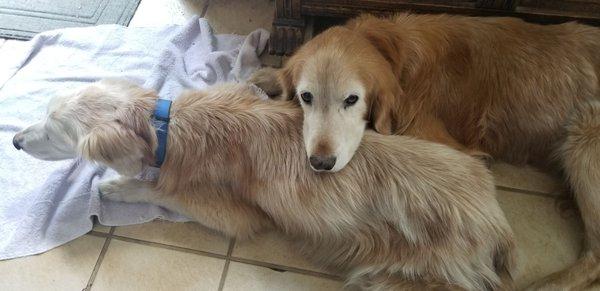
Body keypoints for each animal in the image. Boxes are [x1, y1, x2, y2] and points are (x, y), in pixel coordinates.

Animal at [12, 79, 516, 290]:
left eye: (55, 131)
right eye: (44, 114)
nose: (14, 140)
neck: (167, 125)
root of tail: (497, 222)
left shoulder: (239, 215)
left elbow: (164, 189)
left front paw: (117, 185)